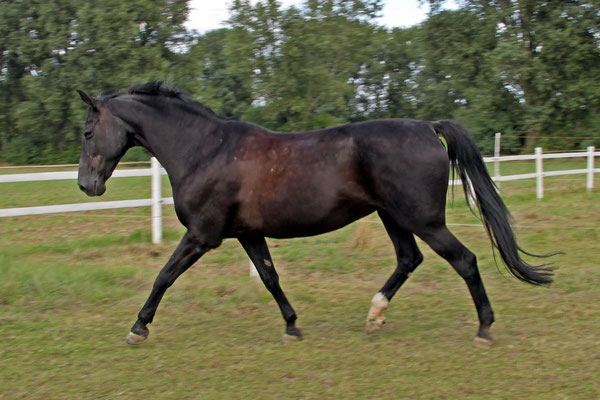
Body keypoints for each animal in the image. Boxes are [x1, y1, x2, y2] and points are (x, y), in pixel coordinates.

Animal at [76, 81, 552, 346]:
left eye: (88, 131)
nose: (86, 185)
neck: (206, 149)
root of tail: (427, 127)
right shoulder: (247, 233)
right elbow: (270, 278)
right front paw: (292, 326)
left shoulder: (202, 235)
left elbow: (164, 276)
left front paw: (138, 328)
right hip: (393, 217)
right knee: (408, 259)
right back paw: (375, 315)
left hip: (424, 219)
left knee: (464, 260)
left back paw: (484, 329)